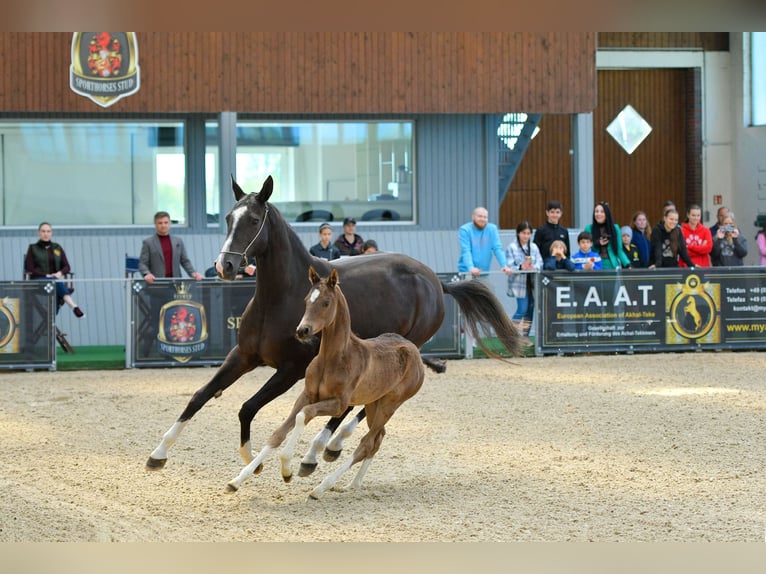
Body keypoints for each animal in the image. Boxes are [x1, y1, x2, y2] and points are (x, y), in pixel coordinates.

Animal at [146, 176, 520, 474]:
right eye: (227, 218)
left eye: (253, 220)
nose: (224, 266)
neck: (281, 295)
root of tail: (435, 281)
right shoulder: (243, 356)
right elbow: (200, 396)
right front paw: (158, 453)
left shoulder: (291, 369)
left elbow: (247, 407)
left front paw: (252, 460)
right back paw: (326, 448)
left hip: (400, 352)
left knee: (358, 406)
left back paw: (323, 450)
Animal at [225, 266, 425, 497]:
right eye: (306, 300)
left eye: (326, 302)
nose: (302, 330)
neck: (333, 359)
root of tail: (413, 350)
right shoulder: (307, 395)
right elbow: (278, 433)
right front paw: (237, 480)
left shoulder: (338, 405)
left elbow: (304, 415)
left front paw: (287, 468)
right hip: (373, 404)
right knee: (378, 438)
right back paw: (354, 483)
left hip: (390, 404)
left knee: (366, 443)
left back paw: (322, 487)